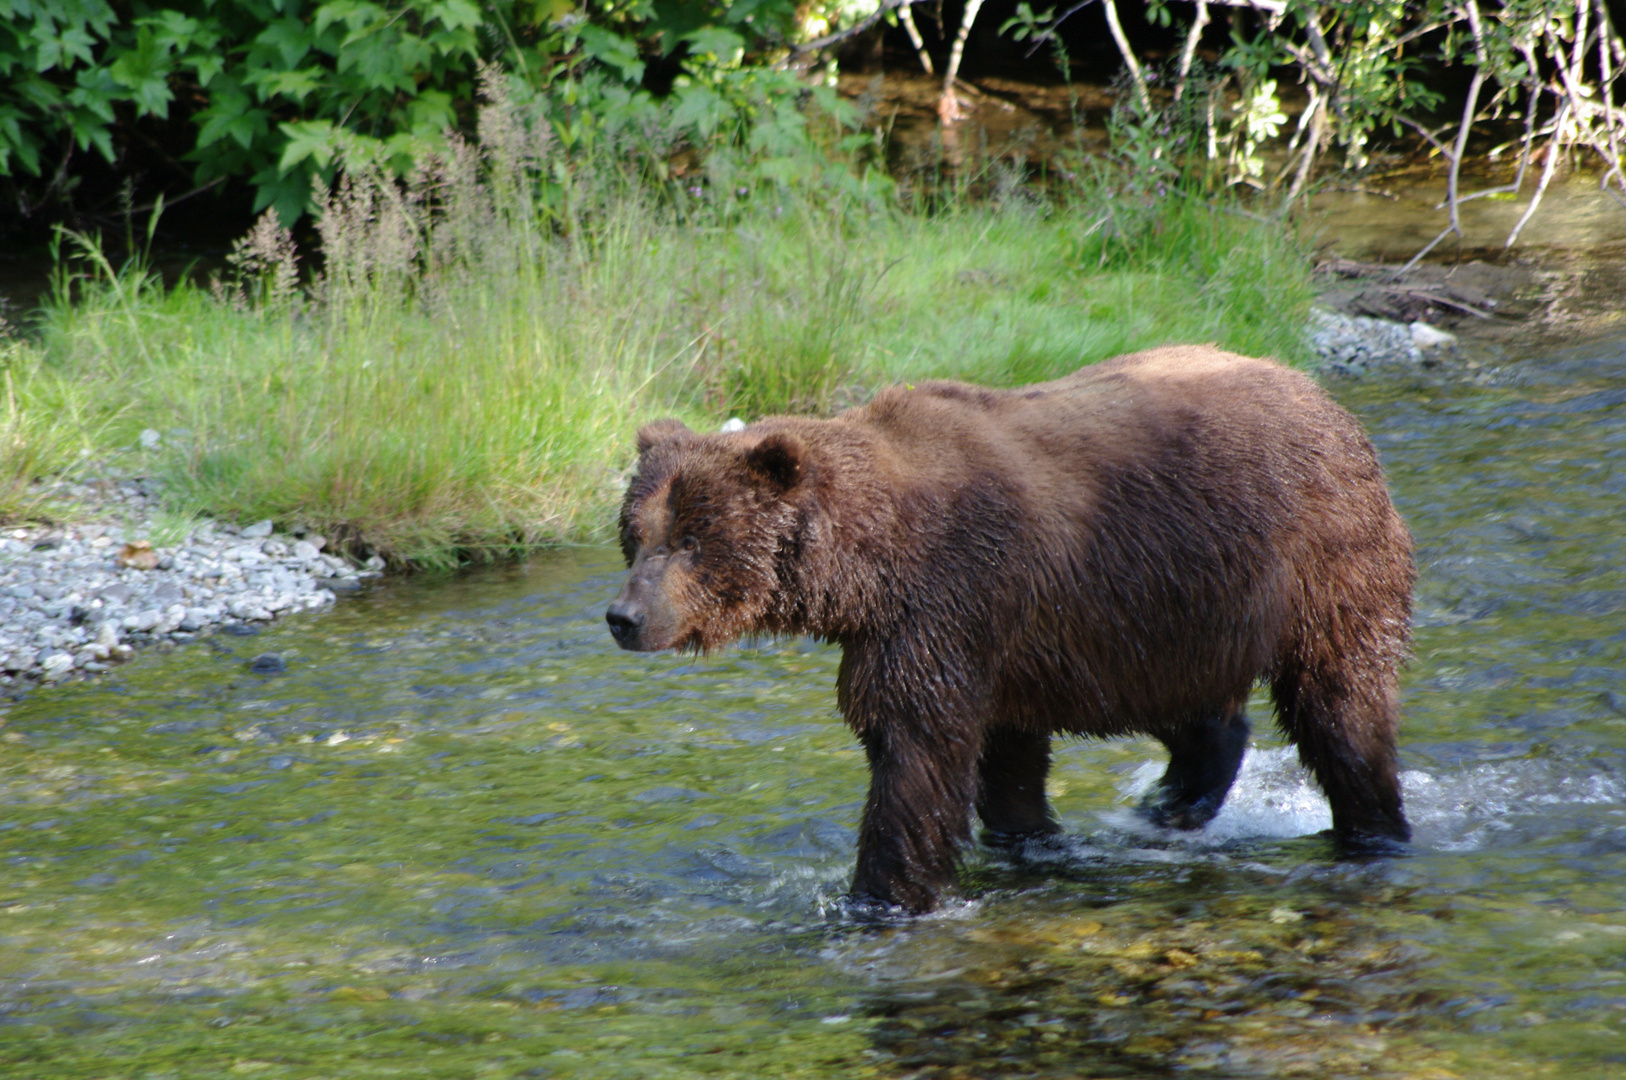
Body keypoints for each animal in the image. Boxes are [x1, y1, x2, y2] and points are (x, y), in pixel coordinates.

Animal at [604, 346, 1417, 910]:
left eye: (691, 539)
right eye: (635, 535)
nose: (624, 617)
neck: (869, 565)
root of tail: (1323, 399)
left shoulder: (952, 599)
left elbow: (917, 757)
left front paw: (875, 898)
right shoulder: (992, 638)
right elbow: (1006, 758)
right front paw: (1031, 840)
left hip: (1306, 560)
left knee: (1340, 703)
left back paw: (1371, 826)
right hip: (1168, 610)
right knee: (1191, 705)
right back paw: (1171, 803)